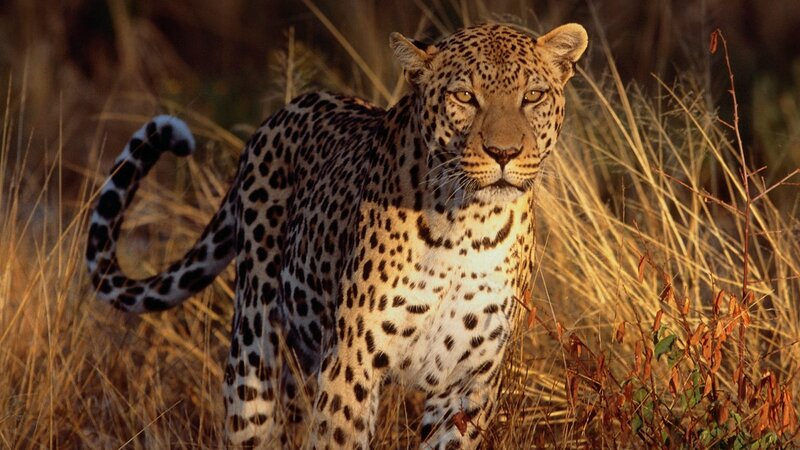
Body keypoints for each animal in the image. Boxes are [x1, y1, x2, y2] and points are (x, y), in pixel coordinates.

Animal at [85, 22, 587, 449]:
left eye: (533, 96)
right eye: (464, 96)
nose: (504, 153)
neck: (468, 228)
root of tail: (281, 113)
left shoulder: (469, 381)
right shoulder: (351, 361)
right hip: (253, 346)